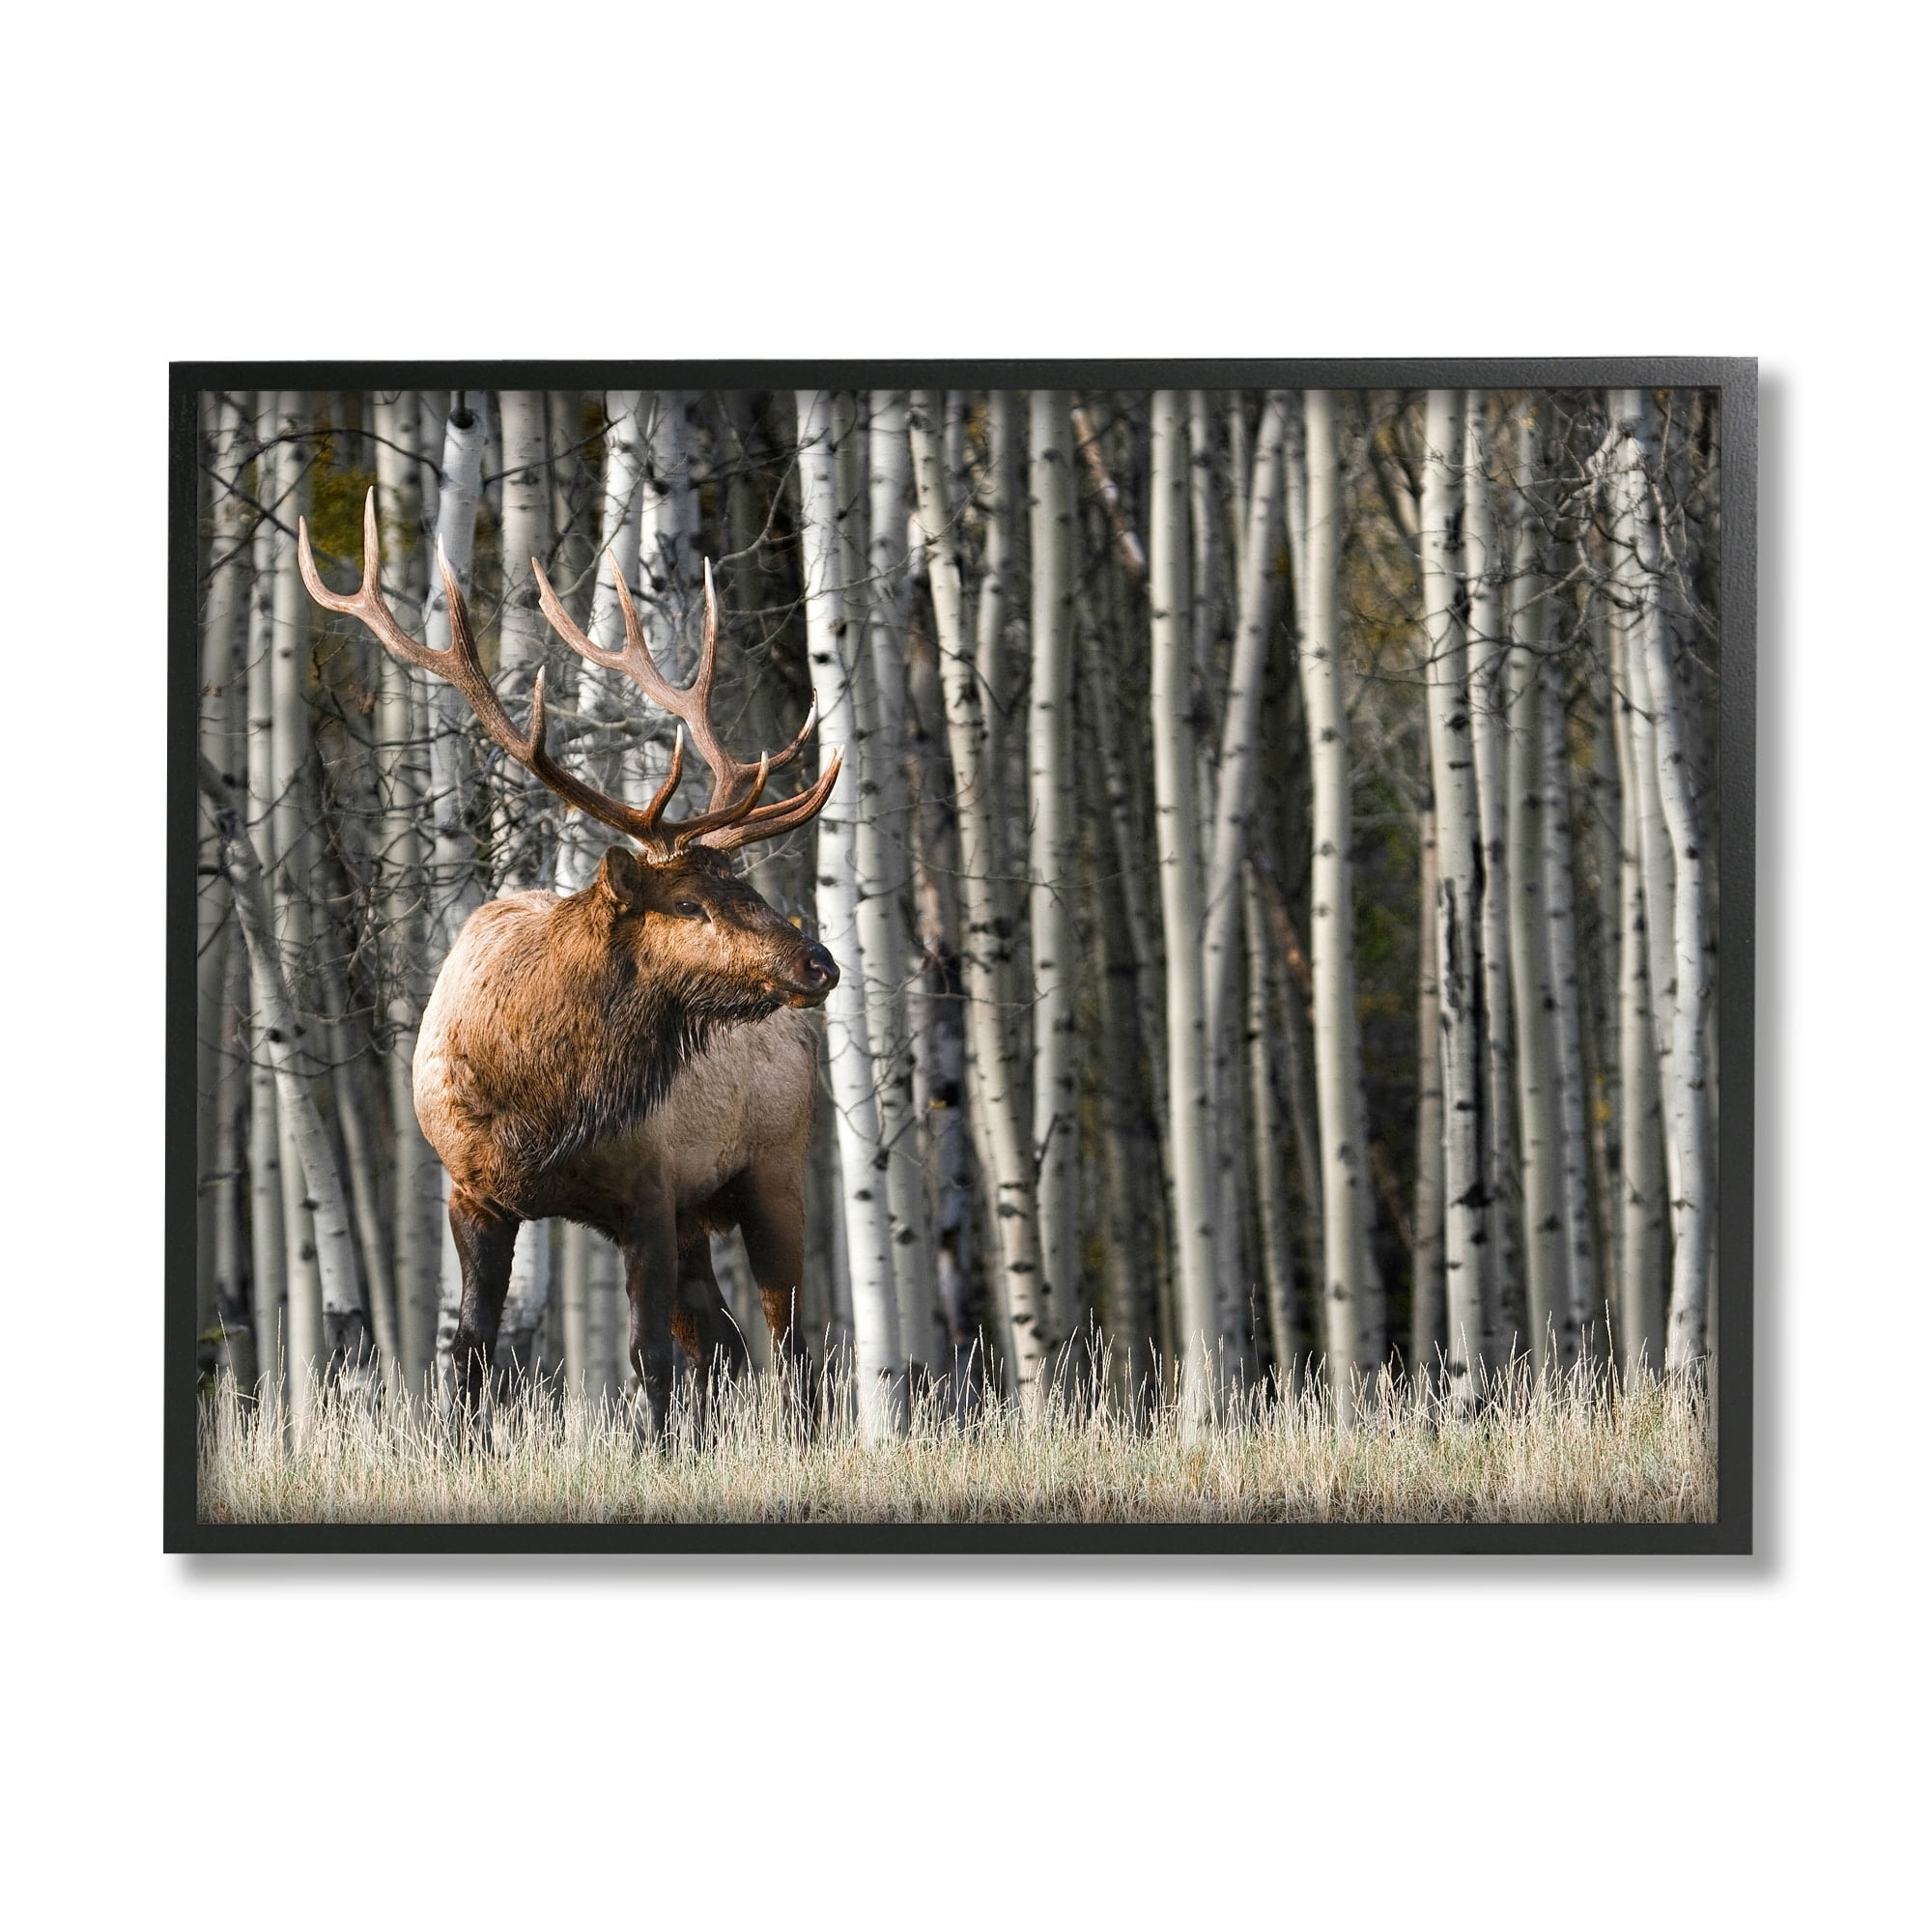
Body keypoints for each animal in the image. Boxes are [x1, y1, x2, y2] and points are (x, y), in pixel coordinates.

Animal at [299, 492, 842, 1437]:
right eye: (692, 904)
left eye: (742, 885)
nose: (819, 962)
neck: (542, 1106)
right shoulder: (474, 1192)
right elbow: (472, 1353)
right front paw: (463, 1450)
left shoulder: (649, 1193)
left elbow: (648, 1358)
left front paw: (656, 1454)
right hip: (705, 1210)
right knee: (727, 1342)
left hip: (774, 1170)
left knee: (788, 1343)